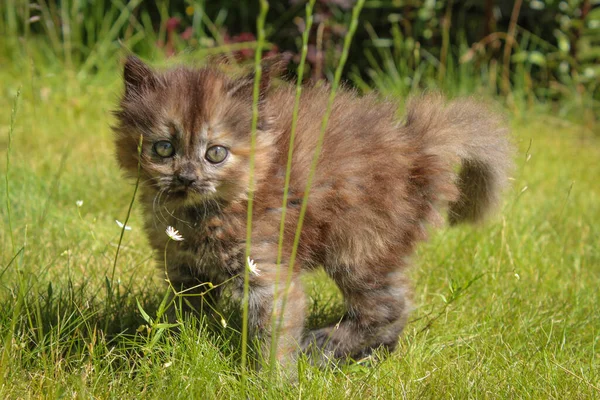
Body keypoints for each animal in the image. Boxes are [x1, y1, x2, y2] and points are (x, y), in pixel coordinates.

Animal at [112, 55, 510, 366]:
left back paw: (326, 349)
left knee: (387, 309)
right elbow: (179, 317)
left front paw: (274, 383)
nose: (187, 177)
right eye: (164, 148)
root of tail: (417, 144)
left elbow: (275, 336)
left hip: (359, 247)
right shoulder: (184, 272)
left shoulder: (267, 269)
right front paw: (166, 350)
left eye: (216, 153)